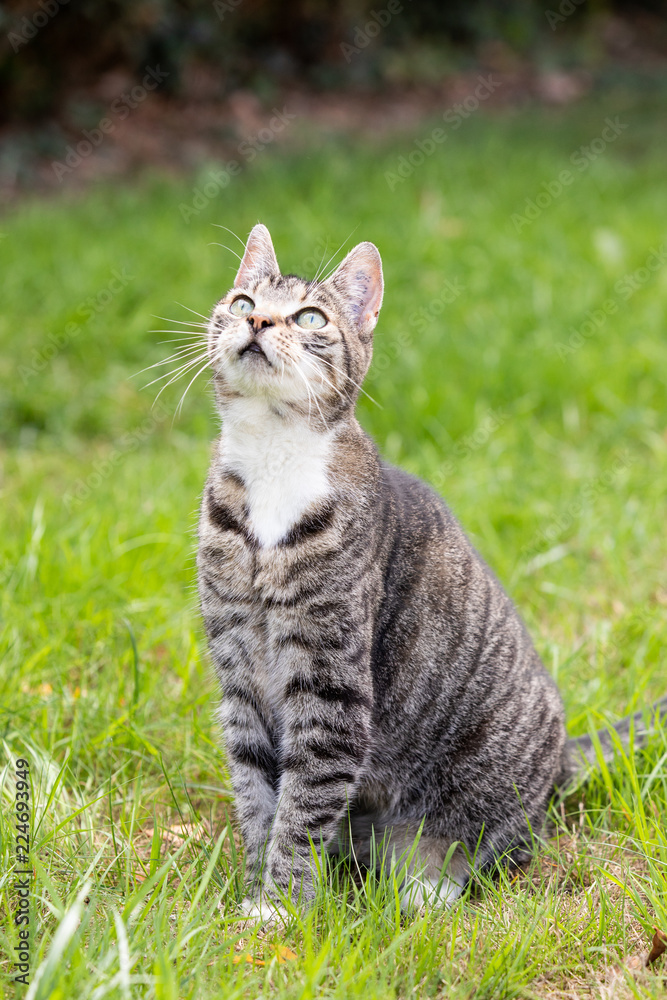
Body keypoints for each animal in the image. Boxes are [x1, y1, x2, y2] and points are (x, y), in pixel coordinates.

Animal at [196, 223, 664, 916]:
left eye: (309, 317)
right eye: (242, 300)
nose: (256, 319)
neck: (272, 464)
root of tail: (561, 757)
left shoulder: (331, 686)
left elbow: (301, 807)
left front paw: (281, 907)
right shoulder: (239, 675)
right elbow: (259, 797)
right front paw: (255, 896)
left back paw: (422, 895)